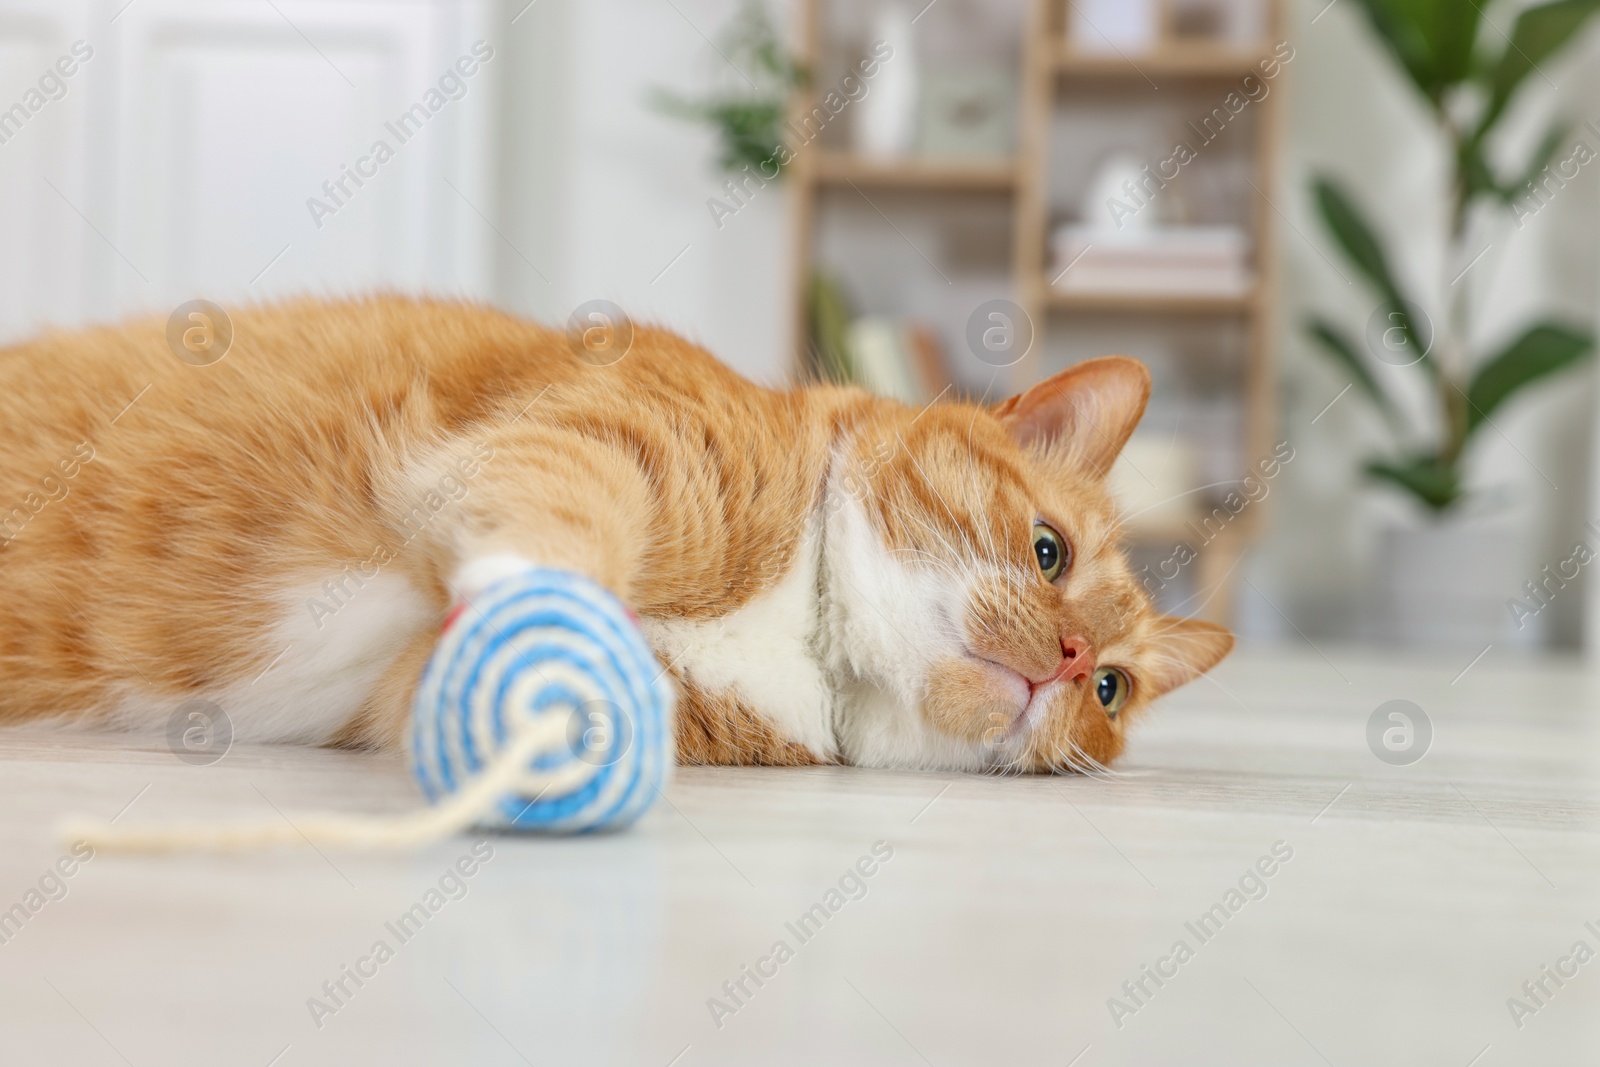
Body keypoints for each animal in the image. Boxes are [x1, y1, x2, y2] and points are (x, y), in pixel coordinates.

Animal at [0, 295, 1228, 771]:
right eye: (1048, 550)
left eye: (1110, 690)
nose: (1068, 656)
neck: (797, 626)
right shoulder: (608, 438)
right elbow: (560, 514)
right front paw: (530, 598)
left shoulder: (403, 690)